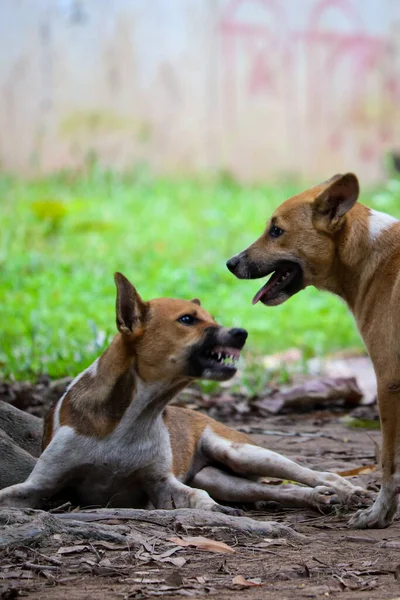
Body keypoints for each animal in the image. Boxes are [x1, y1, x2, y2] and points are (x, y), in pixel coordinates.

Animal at [0, 272, 368, 510]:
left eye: (213, 318)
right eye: (188, 319)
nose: (242, 333)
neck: (134, 416)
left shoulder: (162, 484)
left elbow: (200, 502)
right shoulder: (41, 485)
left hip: (241, 453)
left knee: (312, 472)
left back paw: (341, 487)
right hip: (218, 479)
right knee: (277, 493)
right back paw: (318, 498)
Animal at [227, 171, 398, 528]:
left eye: (276, 230)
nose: (230, 263)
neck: (369, 257)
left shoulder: (388, 382)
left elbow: (390, 465)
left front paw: (378, 515)